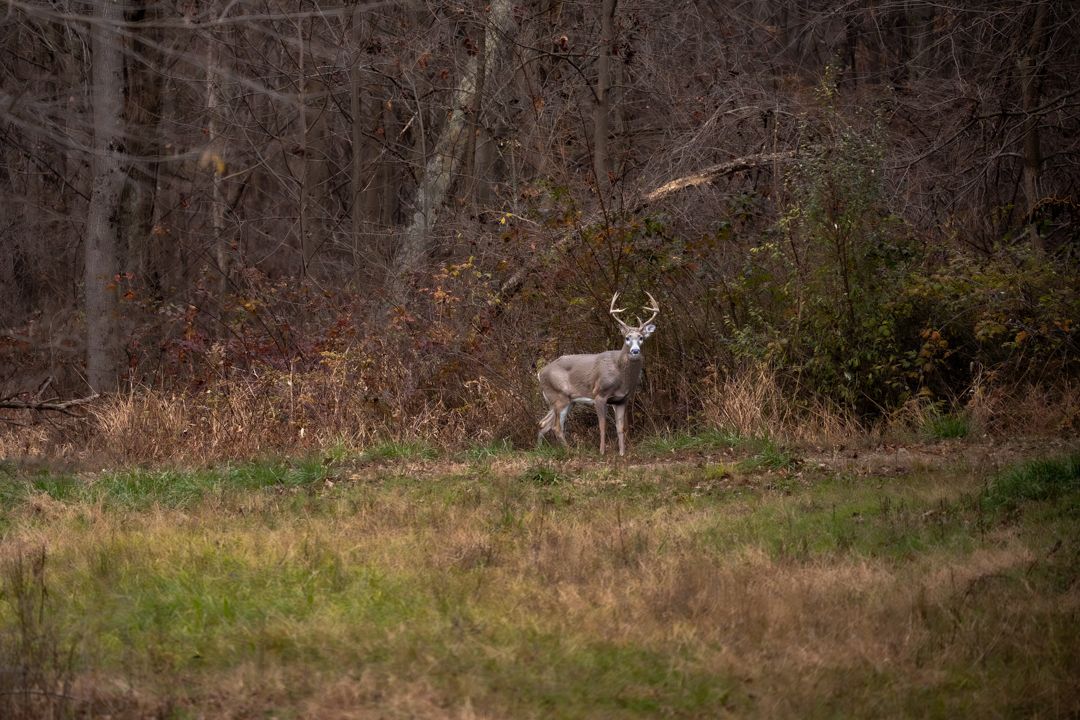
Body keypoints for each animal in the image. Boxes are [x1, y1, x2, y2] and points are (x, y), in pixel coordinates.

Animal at [536, 292, 659, 456]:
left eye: (641, 338)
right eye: (627, 338)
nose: (635, 351)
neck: (621, 376)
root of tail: (540, 373)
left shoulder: (622, 399)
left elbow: (621, 427)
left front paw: (622, 453)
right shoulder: (599, 395)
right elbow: (603, 425)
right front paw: (602, 451)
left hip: (566, 400)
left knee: (543, 423)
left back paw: (540, 450)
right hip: (559, 397)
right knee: (556, 427)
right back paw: (570, 451)